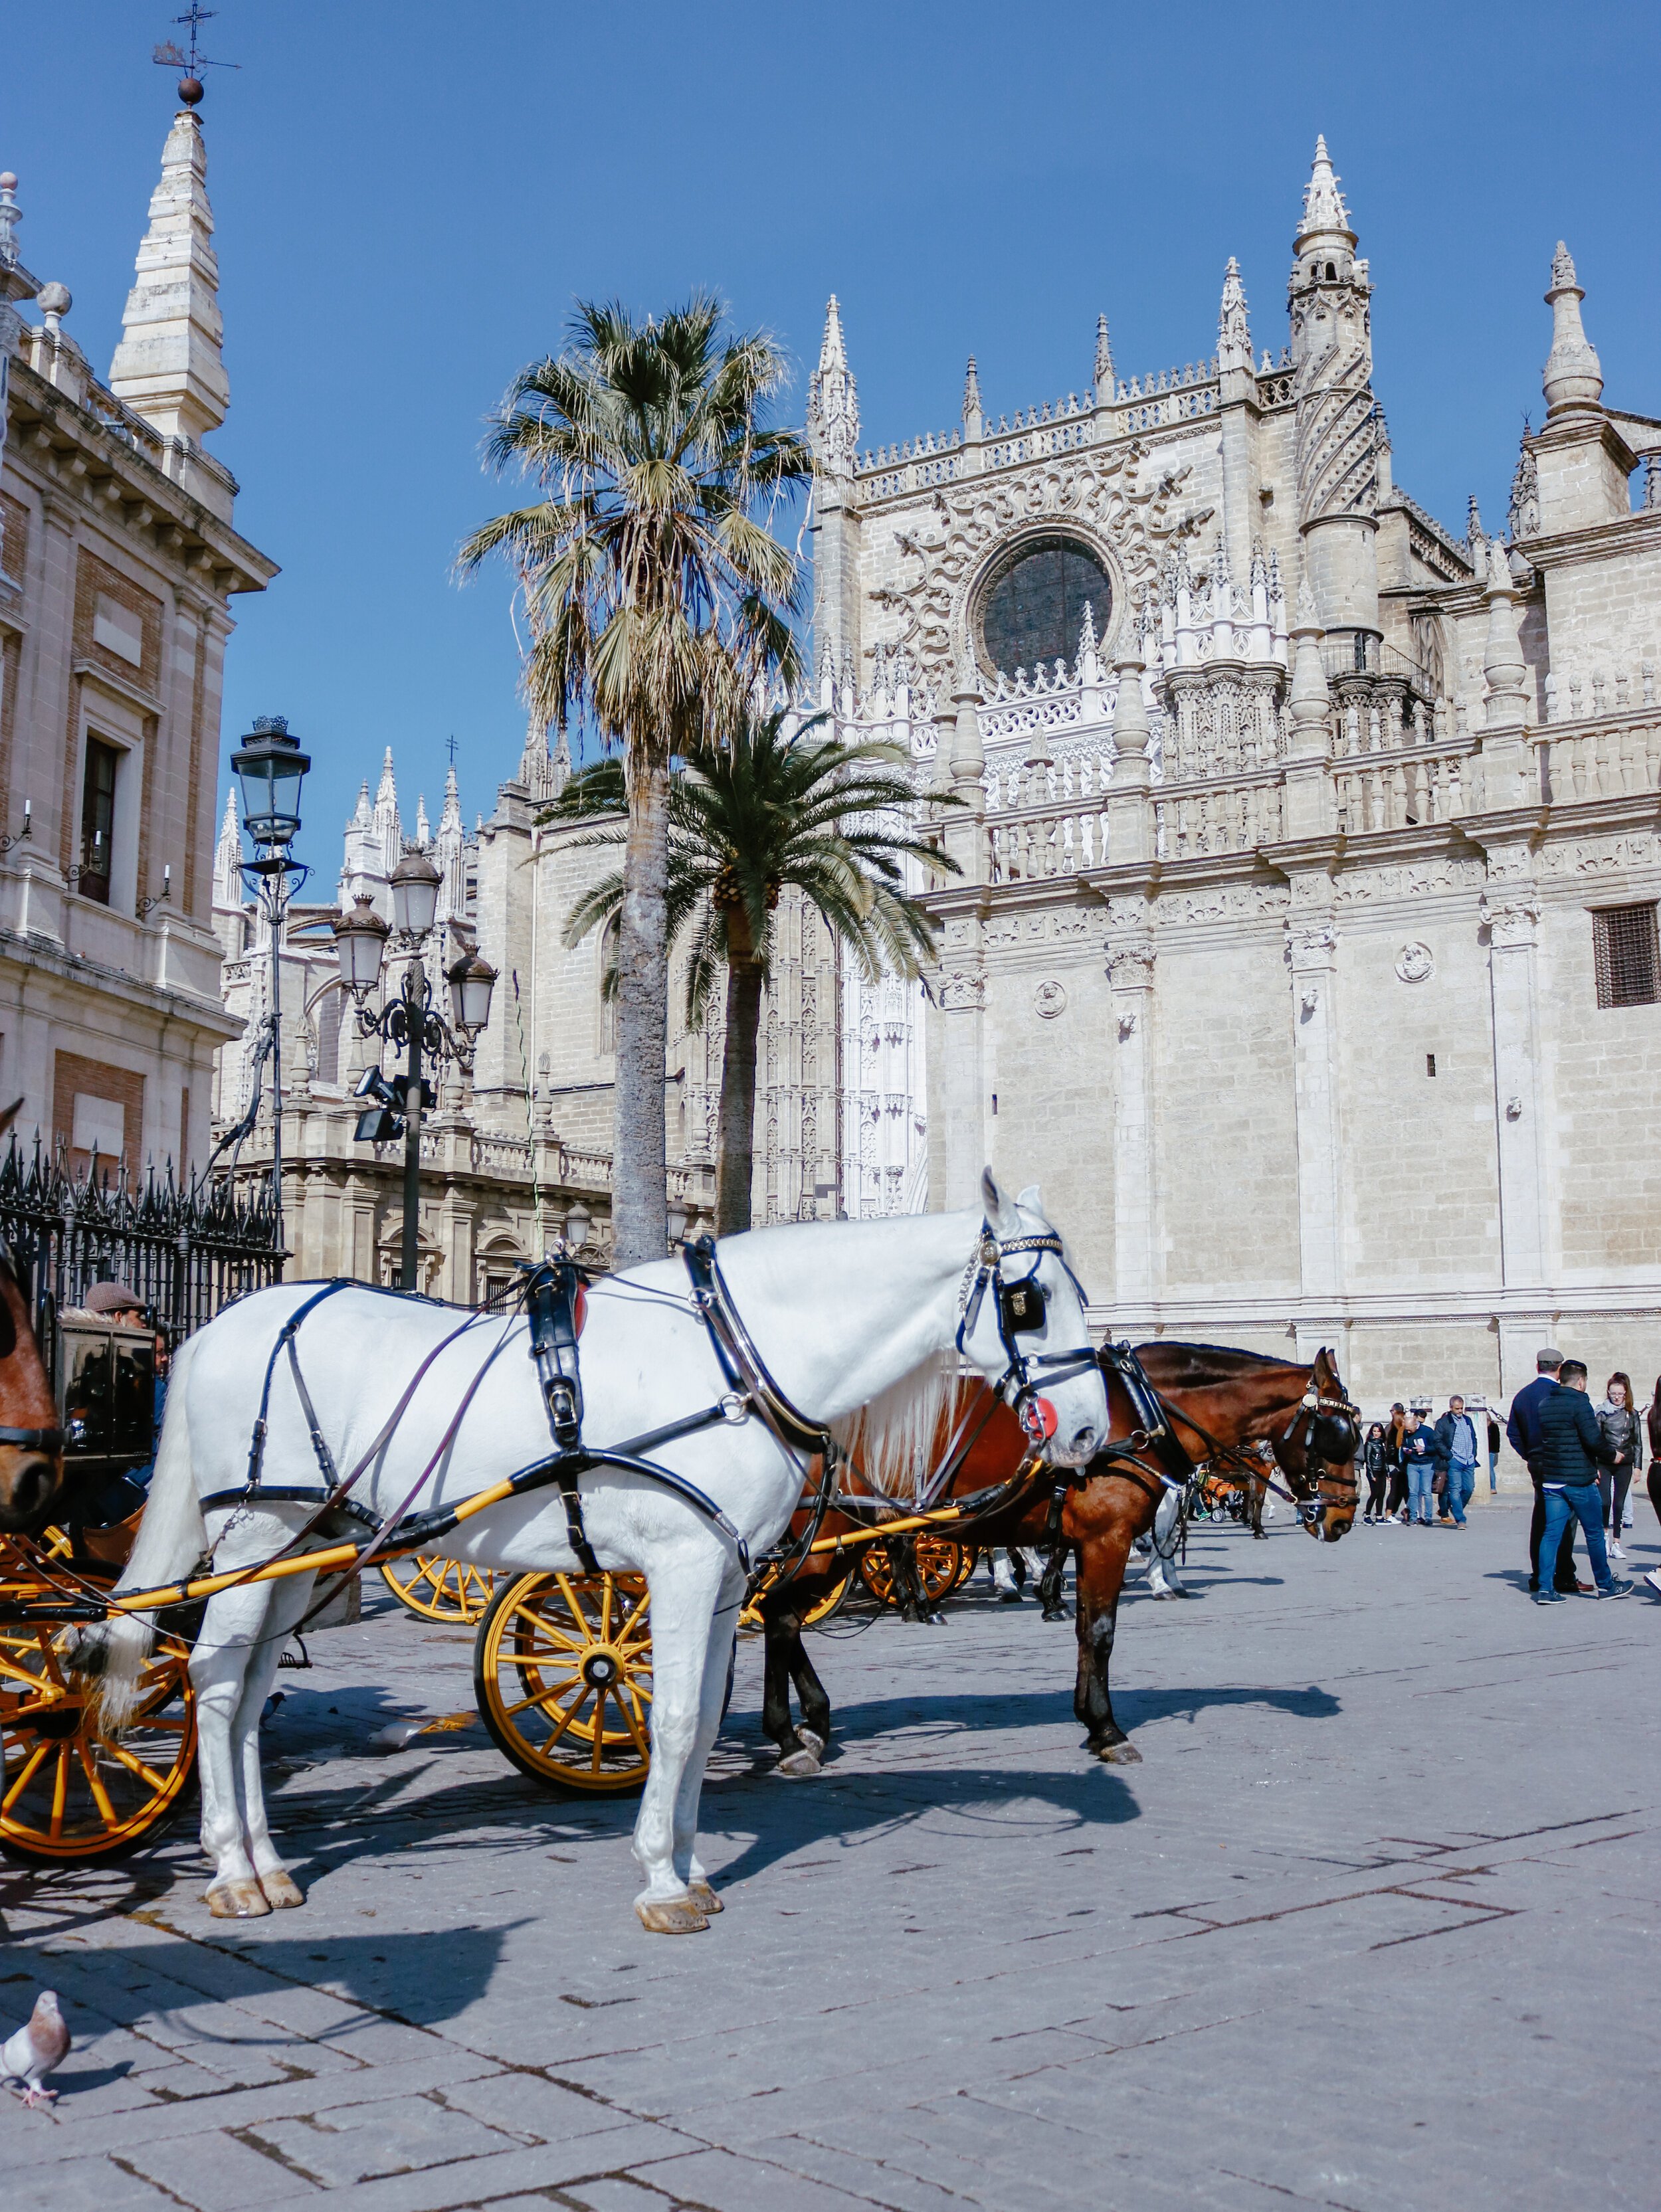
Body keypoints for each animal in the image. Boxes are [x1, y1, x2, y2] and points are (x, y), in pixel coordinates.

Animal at [88, 1176, 1106, 1938]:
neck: (732, 1359)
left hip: (309, 1549)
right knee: (217, 1681)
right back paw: (230, 1868)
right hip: (257, 1534)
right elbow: (676, 1721)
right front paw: (661, 1880)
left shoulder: (723, 1577)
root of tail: (220, 1327)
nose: (1093, 1430)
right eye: (1028, 1301)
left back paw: (268, 1862)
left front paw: (689, 1867)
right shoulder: (684, 1568)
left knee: (251, 1688)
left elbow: (699, 1721)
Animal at [761, 1336, 1353, 1770]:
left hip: (836, 1544)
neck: (1138, 1411)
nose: (1343, 1518)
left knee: (776, 1613)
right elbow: (1102, 1633)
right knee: (782, 1616)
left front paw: (1090, 1720)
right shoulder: (1108, 1539)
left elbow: (1085, 1627)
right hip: (828, 1540)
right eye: (1338, 1434)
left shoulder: (1090, 1542)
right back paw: (793, 1733)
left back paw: (810, 1723)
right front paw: (1108, 1729)